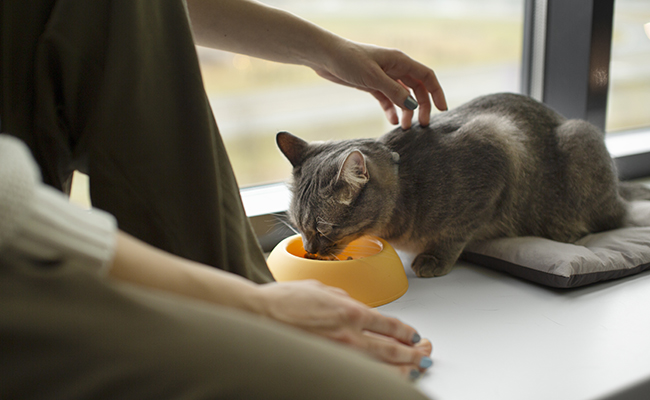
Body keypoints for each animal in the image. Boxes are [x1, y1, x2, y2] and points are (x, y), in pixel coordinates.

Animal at [276, 92, 644, 276]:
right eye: (298, 226)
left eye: (324, 229)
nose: (310, 250)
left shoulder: (496, 149)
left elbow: (456, 232)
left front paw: (433, 259)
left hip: (580, 138)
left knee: (613, 216)